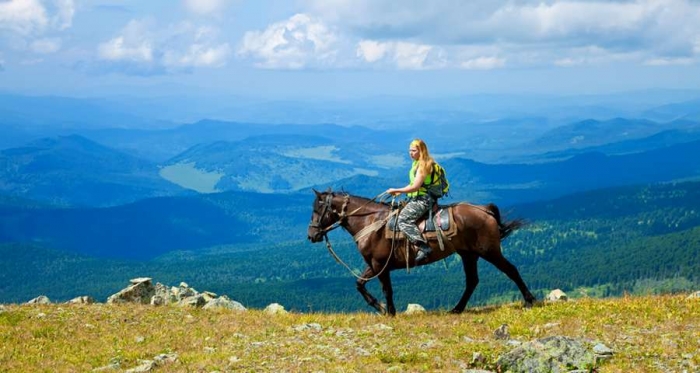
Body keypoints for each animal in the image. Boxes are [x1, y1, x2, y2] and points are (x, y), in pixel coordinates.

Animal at [306, 189, 536, 314]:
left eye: (318, 210)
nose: (311, 235)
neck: (370, 221)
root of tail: (484, 210)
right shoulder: (373, 265)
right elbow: (360, 284)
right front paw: (380, 308)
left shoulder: (380, 264)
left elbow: (387, 290)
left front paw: (389, 311)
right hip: (468, 254)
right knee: (472, 281)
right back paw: (457, 309)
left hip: (489, 251)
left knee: (511, 270)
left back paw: (530, 300)